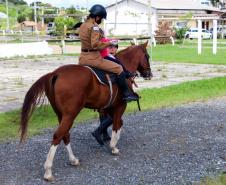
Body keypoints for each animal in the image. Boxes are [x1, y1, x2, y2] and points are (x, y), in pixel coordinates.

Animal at [19, 40, 152, 181]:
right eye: (147, 56)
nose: (149, 74)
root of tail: (56, 73)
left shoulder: (108, 108)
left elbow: (116, 123)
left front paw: (106, 138)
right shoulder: (120, 106)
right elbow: (116, 124)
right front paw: (113, 146)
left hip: (61, 115)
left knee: (65, 135)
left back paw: (73, 160)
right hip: (70, 115)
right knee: (58, 136)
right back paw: (48, 171)